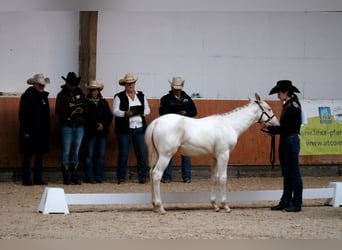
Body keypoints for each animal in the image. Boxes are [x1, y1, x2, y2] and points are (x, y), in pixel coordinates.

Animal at [146, 93, 280, 214]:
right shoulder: (223, 155)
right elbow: (223, 178)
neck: (230, 125)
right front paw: (225, 205)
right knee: (157, 175)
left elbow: (214, 178)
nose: (277, 125)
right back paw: (160, 207)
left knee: (151, 173)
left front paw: (215, 205)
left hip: (157, 155)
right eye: (269, 108)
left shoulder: (214, 157)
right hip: (165, 156)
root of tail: (156, 122)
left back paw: (154, 206)